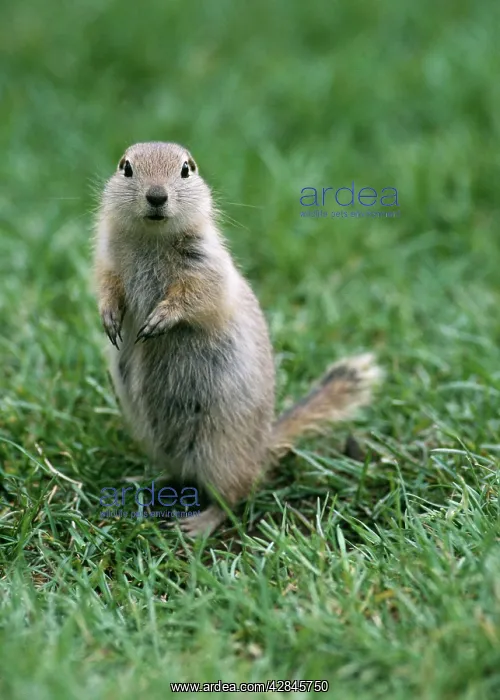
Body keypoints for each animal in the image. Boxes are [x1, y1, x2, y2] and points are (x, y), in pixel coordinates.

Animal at [94, 141, 382, 537]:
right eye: (126, 168)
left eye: (186, 169)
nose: (156, 196)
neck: (151, 238)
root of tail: (262, 449)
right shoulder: (106, 260)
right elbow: (107, 287)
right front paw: (109, 319)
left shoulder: (206, 268)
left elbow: (194, 297)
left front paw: (158, 321)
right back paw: (146, 482)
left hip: (220, 452)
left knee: (233, 497)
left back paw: (197, 524)